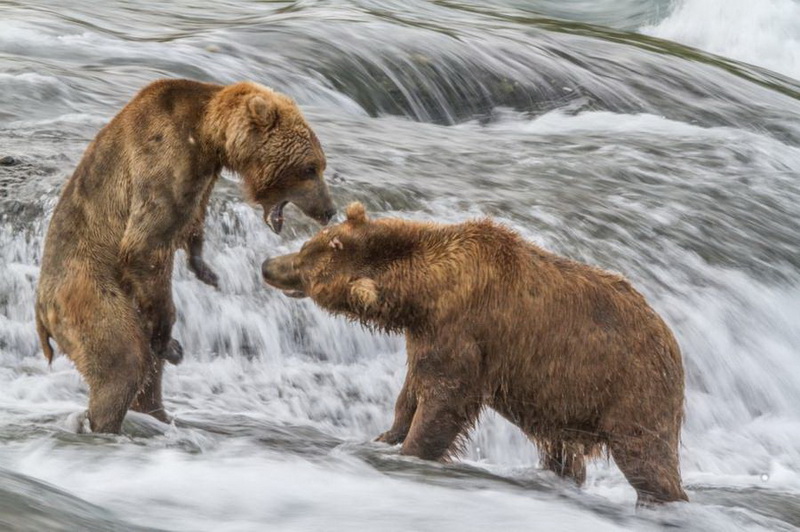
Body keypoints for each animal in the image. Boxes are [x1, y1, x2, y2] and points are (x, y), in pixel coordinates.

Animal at [33, 80, 334, 436]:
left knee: (145, 372)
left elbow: (190, 225)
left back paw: (158, 415)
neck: (208, 137)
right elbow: (143, 246)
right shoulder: (165, 157)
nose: (329, 210)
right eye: (310, 167)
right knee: (124, 359)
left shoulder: (202, 178)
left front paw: (206, 270)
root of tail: (40, 310)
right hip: (88, 289)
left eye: (320, 165)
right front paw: (172, 343)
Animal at [262, 202, 688, 504]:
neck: (424, 292)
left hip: (630, 387)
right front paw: (387, 434)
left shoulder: (464, 330)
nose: (267, 264)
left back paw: (662, 499)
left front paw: (411, 450)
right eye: (308, 245)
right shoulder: (427, 334)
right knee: (564, 454)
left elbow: (445, 399)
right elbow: (412, 388)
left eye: (306, 264)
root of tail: (673, 340)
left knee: (646, 456)